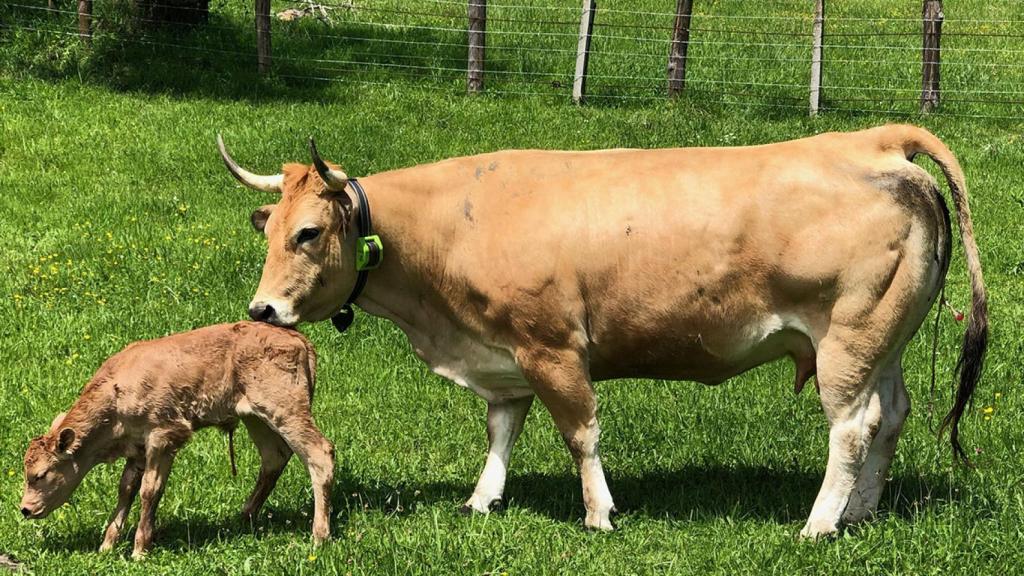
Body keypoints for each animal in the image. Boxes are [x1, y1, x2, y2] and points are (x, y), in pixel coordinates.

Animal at [20, 322, 334, 558]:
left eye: (40, 475)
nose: (25, 509)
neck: (115, 394)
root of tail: (299, 339)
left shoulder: (163, 438)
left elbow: (150, 490)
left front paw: (139, 549)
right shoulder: (137, 449)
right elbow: (126, 489)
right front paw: (107, 545)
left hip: (286, 411)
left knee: (319, 454)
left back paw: (319, 536)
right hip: (255, 417)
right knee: (273, 457)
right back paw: (244, 517)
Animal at [217, 124, 986, 538]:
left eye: (309, 233)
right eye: (270, 230)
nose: (262, 312)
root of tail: (874, 141)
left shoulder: (552, 347)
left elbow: (579, 433)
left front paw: (598, 513)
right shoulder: (504, 354)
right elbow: (502, 429)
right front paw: (483, 499)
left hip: (847, 340)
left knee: (852, 428)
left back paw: (821, 523)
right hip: (885, 340)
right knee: (891, 416)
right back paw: (861, 513)